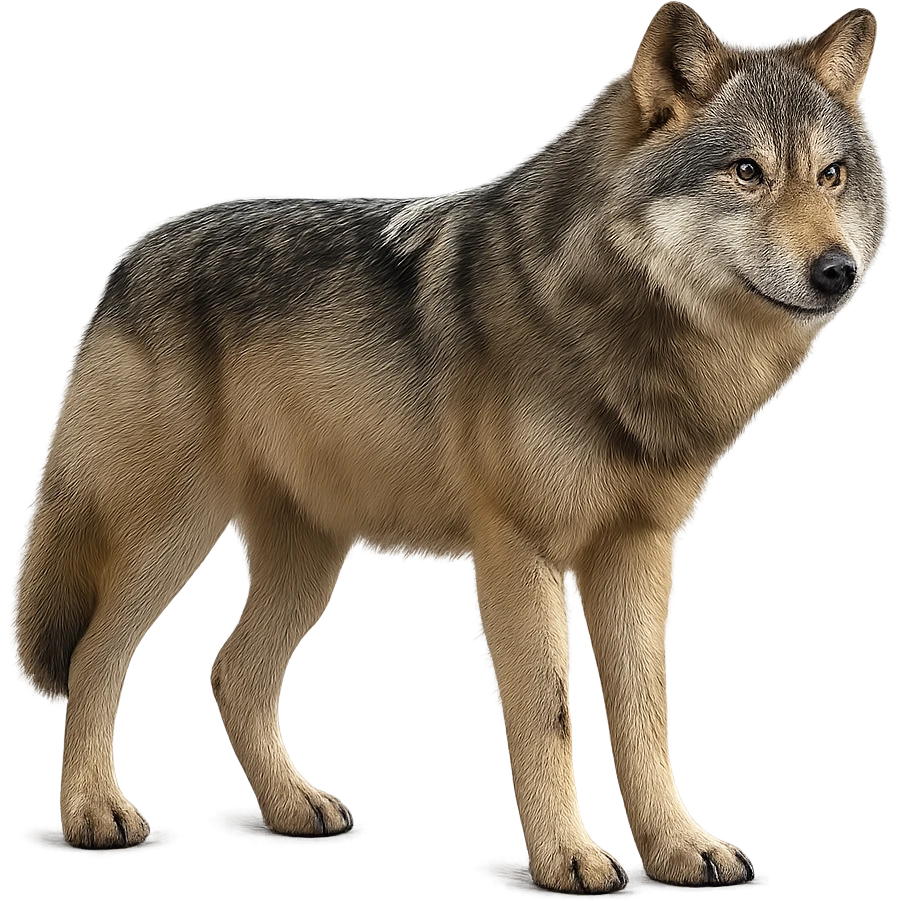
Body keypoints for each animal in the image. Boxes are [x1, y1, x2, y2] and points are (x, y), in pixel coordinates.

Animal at [11, 3, 884, 891]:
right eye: (746, 171)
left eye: (830, 176)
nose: (837, 271)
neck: (623, 332)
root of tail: (124, 261)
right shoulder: (520, 552)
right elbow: (549, 712)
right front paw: (568, 856)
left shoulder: (637, 549)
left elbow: (647, 715)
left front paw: (678, 846)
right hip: (172, 534)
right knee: (93, 657)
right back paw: (94, 813)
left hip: (312, 556)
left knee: (232, 668)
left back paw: (292, 805)